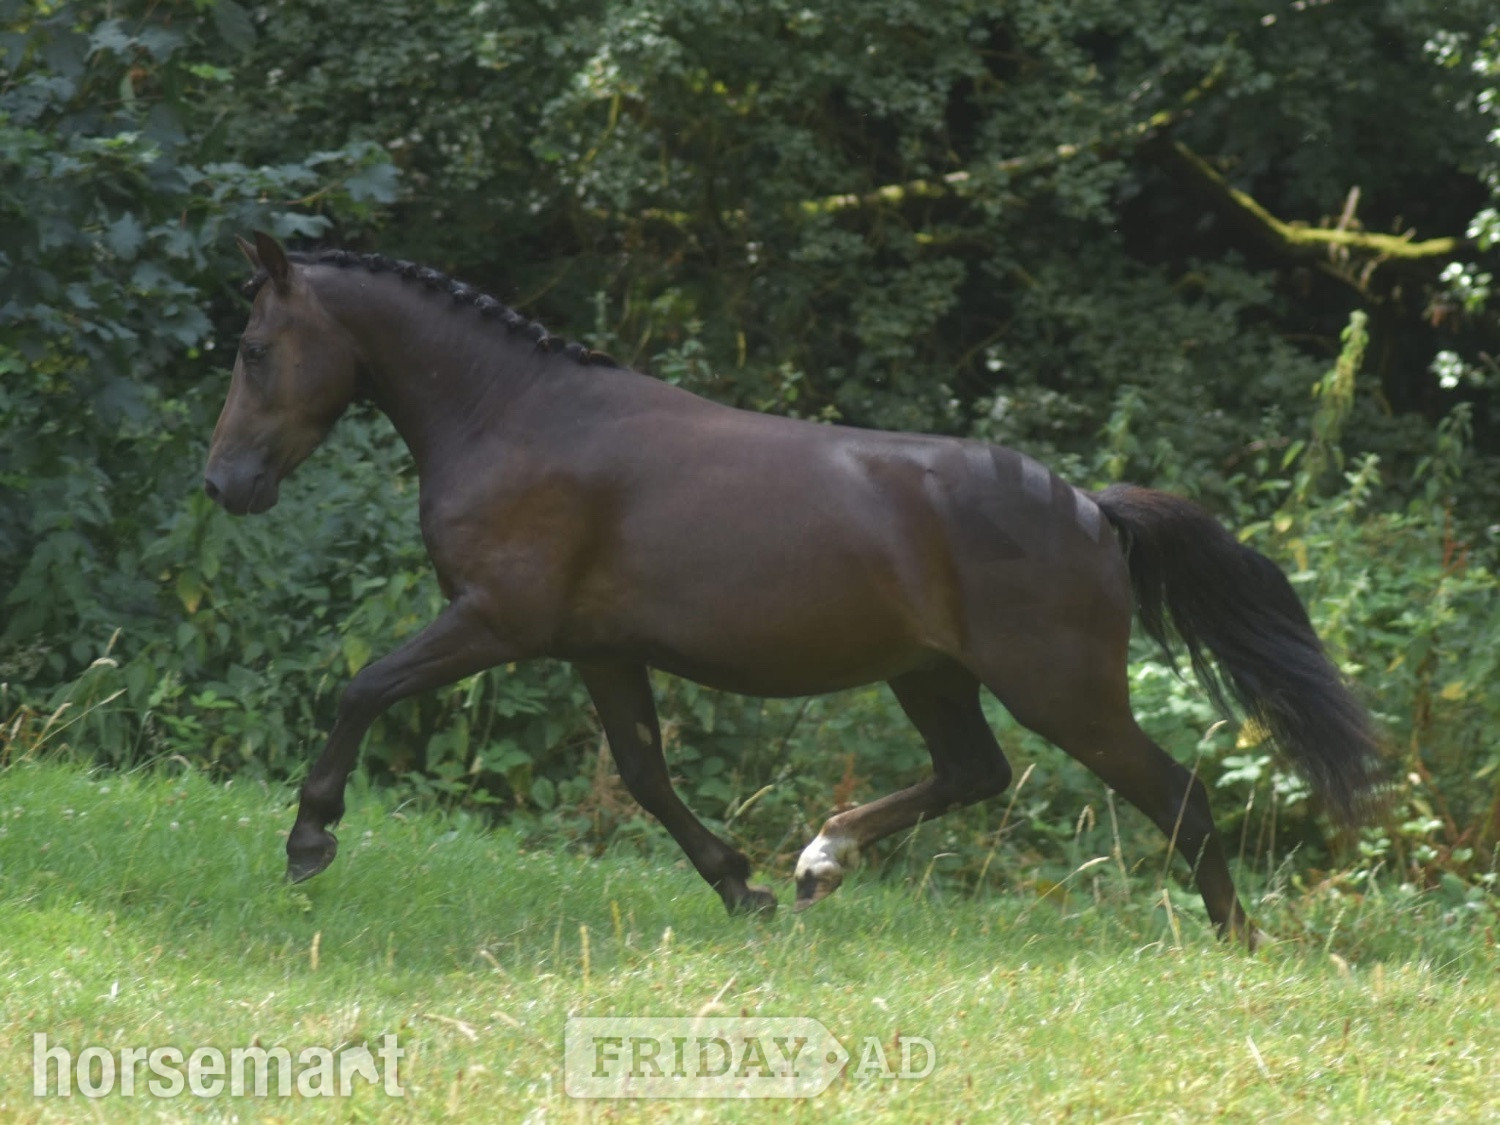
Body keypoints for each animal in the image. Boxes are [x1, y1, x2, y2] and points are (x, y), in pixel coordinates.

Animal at [204, 231, 1383, 947]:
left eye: (256, 348)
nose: (224, 484)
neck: (514, 418)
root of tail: (1091, 507)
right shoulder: (598, 650)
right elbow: (645, 773)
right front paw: (746, 885)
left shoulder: (496, 622)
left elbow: (363, 686)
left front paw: (310, 840)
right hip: (932, 677)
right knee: (975, 772)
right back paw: (823, 860)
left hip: (1062, 691)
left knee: (1175, 795)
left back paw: (1237, 941)